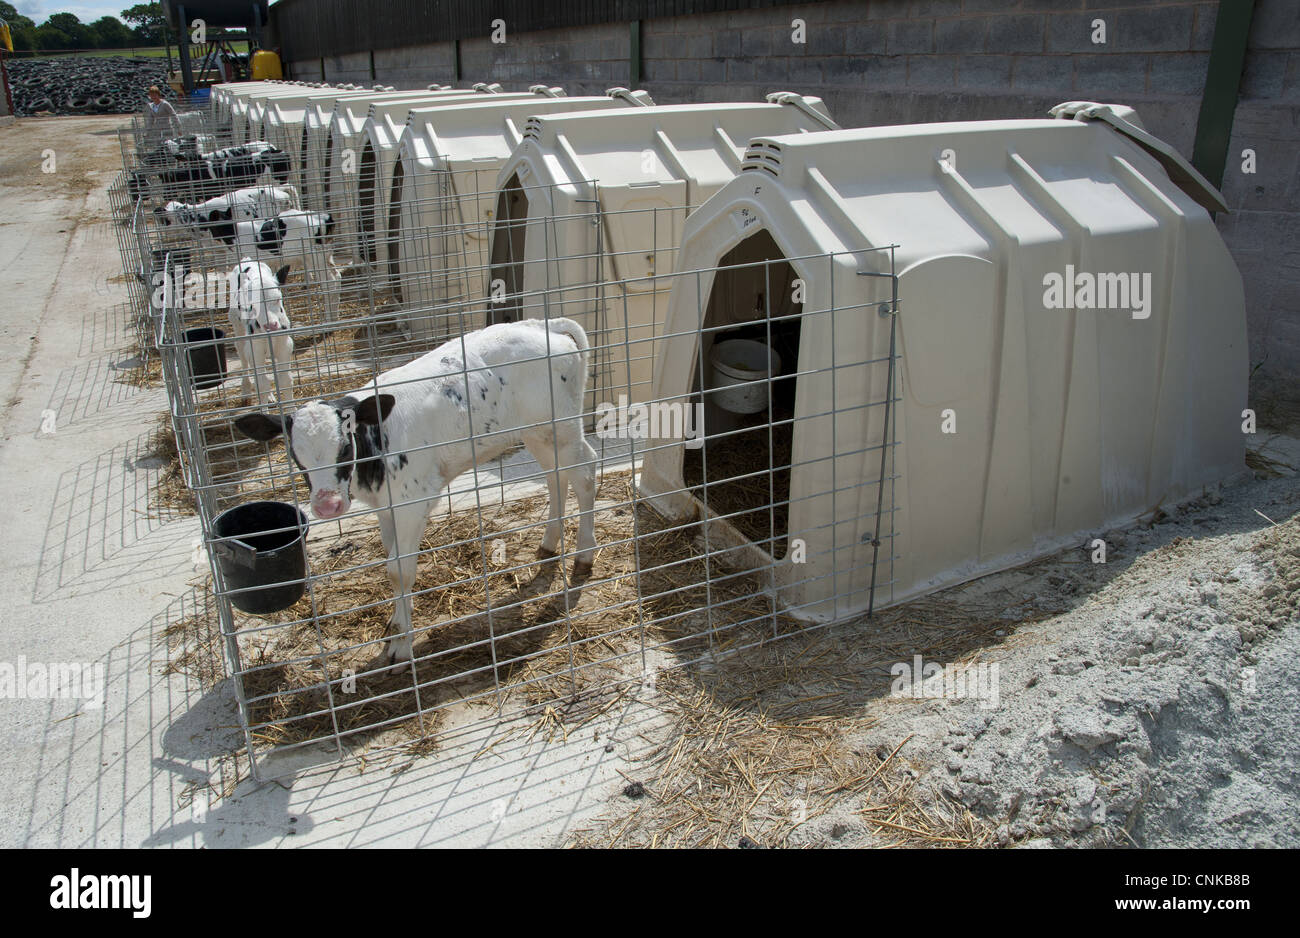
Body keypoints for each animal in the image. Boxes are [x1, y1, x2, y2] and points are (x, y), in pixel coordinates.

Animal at [232, 259, 297, 402]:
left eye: (278, 298)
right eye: (252, 305)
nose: (271, 325)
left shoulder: (285, 346)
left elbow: (285, 381)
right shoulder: (254, 350)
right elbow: (261, 385)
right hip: (237, 328)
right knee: (242, 357)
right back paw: (246, 391)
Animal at [235, 318, 598, 662]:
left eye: (344, 446)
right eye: (296, 456)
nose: (328, 505)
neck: (378, 441)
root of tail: (542, 324)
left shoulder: (413, 502)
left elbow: (399, 569)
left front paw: (402, 644)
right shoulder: (387, 507)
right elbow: (392, 560)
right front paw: (398, 620)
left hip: (562, 428)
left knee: (585, 473)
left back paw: (584, 553)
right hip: (538, 433)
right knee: (555, 476)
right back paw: (549, 542)